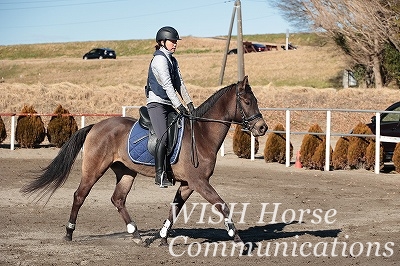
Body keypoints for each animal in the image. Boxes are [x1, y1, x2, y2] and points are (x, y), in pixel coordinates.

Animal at [20, 76, 268, 246]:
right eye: (247, 101)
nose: (262, 128)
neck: (202, 134)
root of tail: (97, 126)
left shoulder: (188, 184)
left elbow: (174, 209)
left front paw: (163, 237)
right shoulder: (199, 182)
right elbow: (222, 205)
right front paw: (237, 238)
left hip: (126, 172)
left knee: (118, 199)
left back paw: (136, 234)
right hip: (94, 169)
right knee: (79, 196)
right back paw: (69, 233)